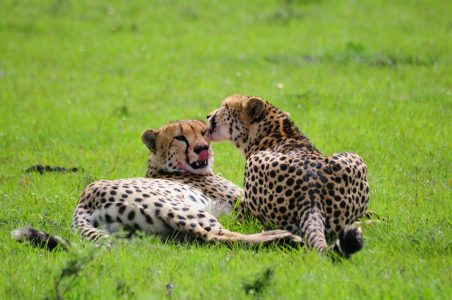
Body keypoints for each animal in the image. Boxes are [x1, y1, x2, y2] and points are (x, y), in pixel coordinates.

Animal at [13, 119, 304, 248]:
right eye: (180, 138)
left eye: (204, 132)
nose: (202, 148)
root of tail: (85, 198)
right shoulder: (242, 203)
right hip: (183, 208)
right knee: (214, 236)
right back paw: (281, 237)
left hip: (150, 230)